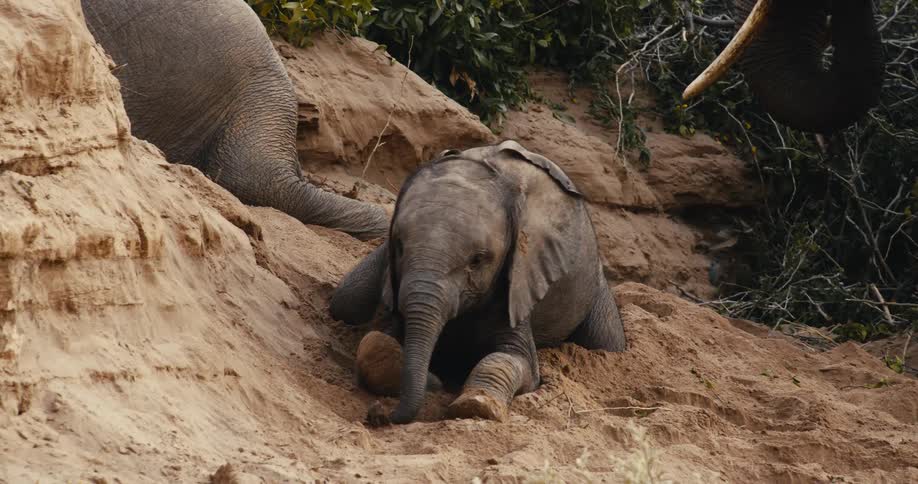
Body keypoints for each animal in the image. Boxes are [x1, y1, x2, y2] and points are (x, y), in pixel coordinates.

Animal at [329, 140, 627, 425]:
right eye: (399, 246)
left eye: (478, 260)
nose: (377, 414)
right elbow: (376, 342)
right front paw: (434, 380)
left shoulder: (519, 282)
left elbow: (514, 361)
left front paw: (475, 405)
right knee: (347, 300)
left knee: (607, 343)